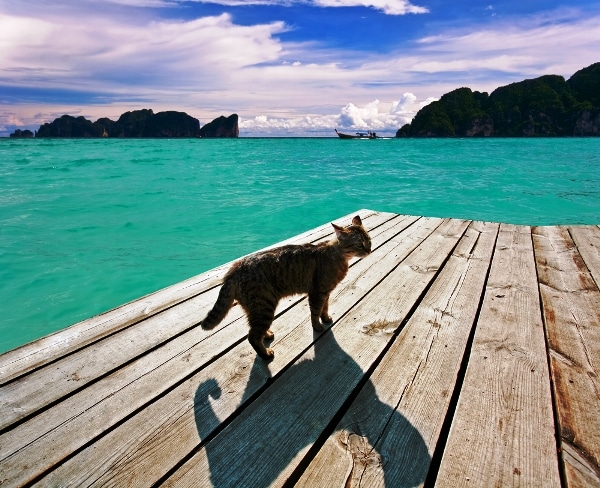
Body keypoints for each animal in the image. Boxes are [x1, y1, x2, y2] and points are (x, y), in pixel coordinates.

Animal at [202, 215, 370, 360]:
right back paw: (266, 354)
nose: (368, 250)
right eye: (359, 244)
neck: (337, 255)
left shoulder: (326, 292)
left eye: (368, 240)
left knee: (254, 330)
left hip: (255, 309)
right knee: (252, 336)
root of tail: (234, 269)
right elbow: (315, 313)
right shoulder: (317, 293)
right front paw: (318, 326)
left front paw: (326, 318)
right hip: (264, 306)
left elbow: (325, 308)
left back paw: (267, 334)